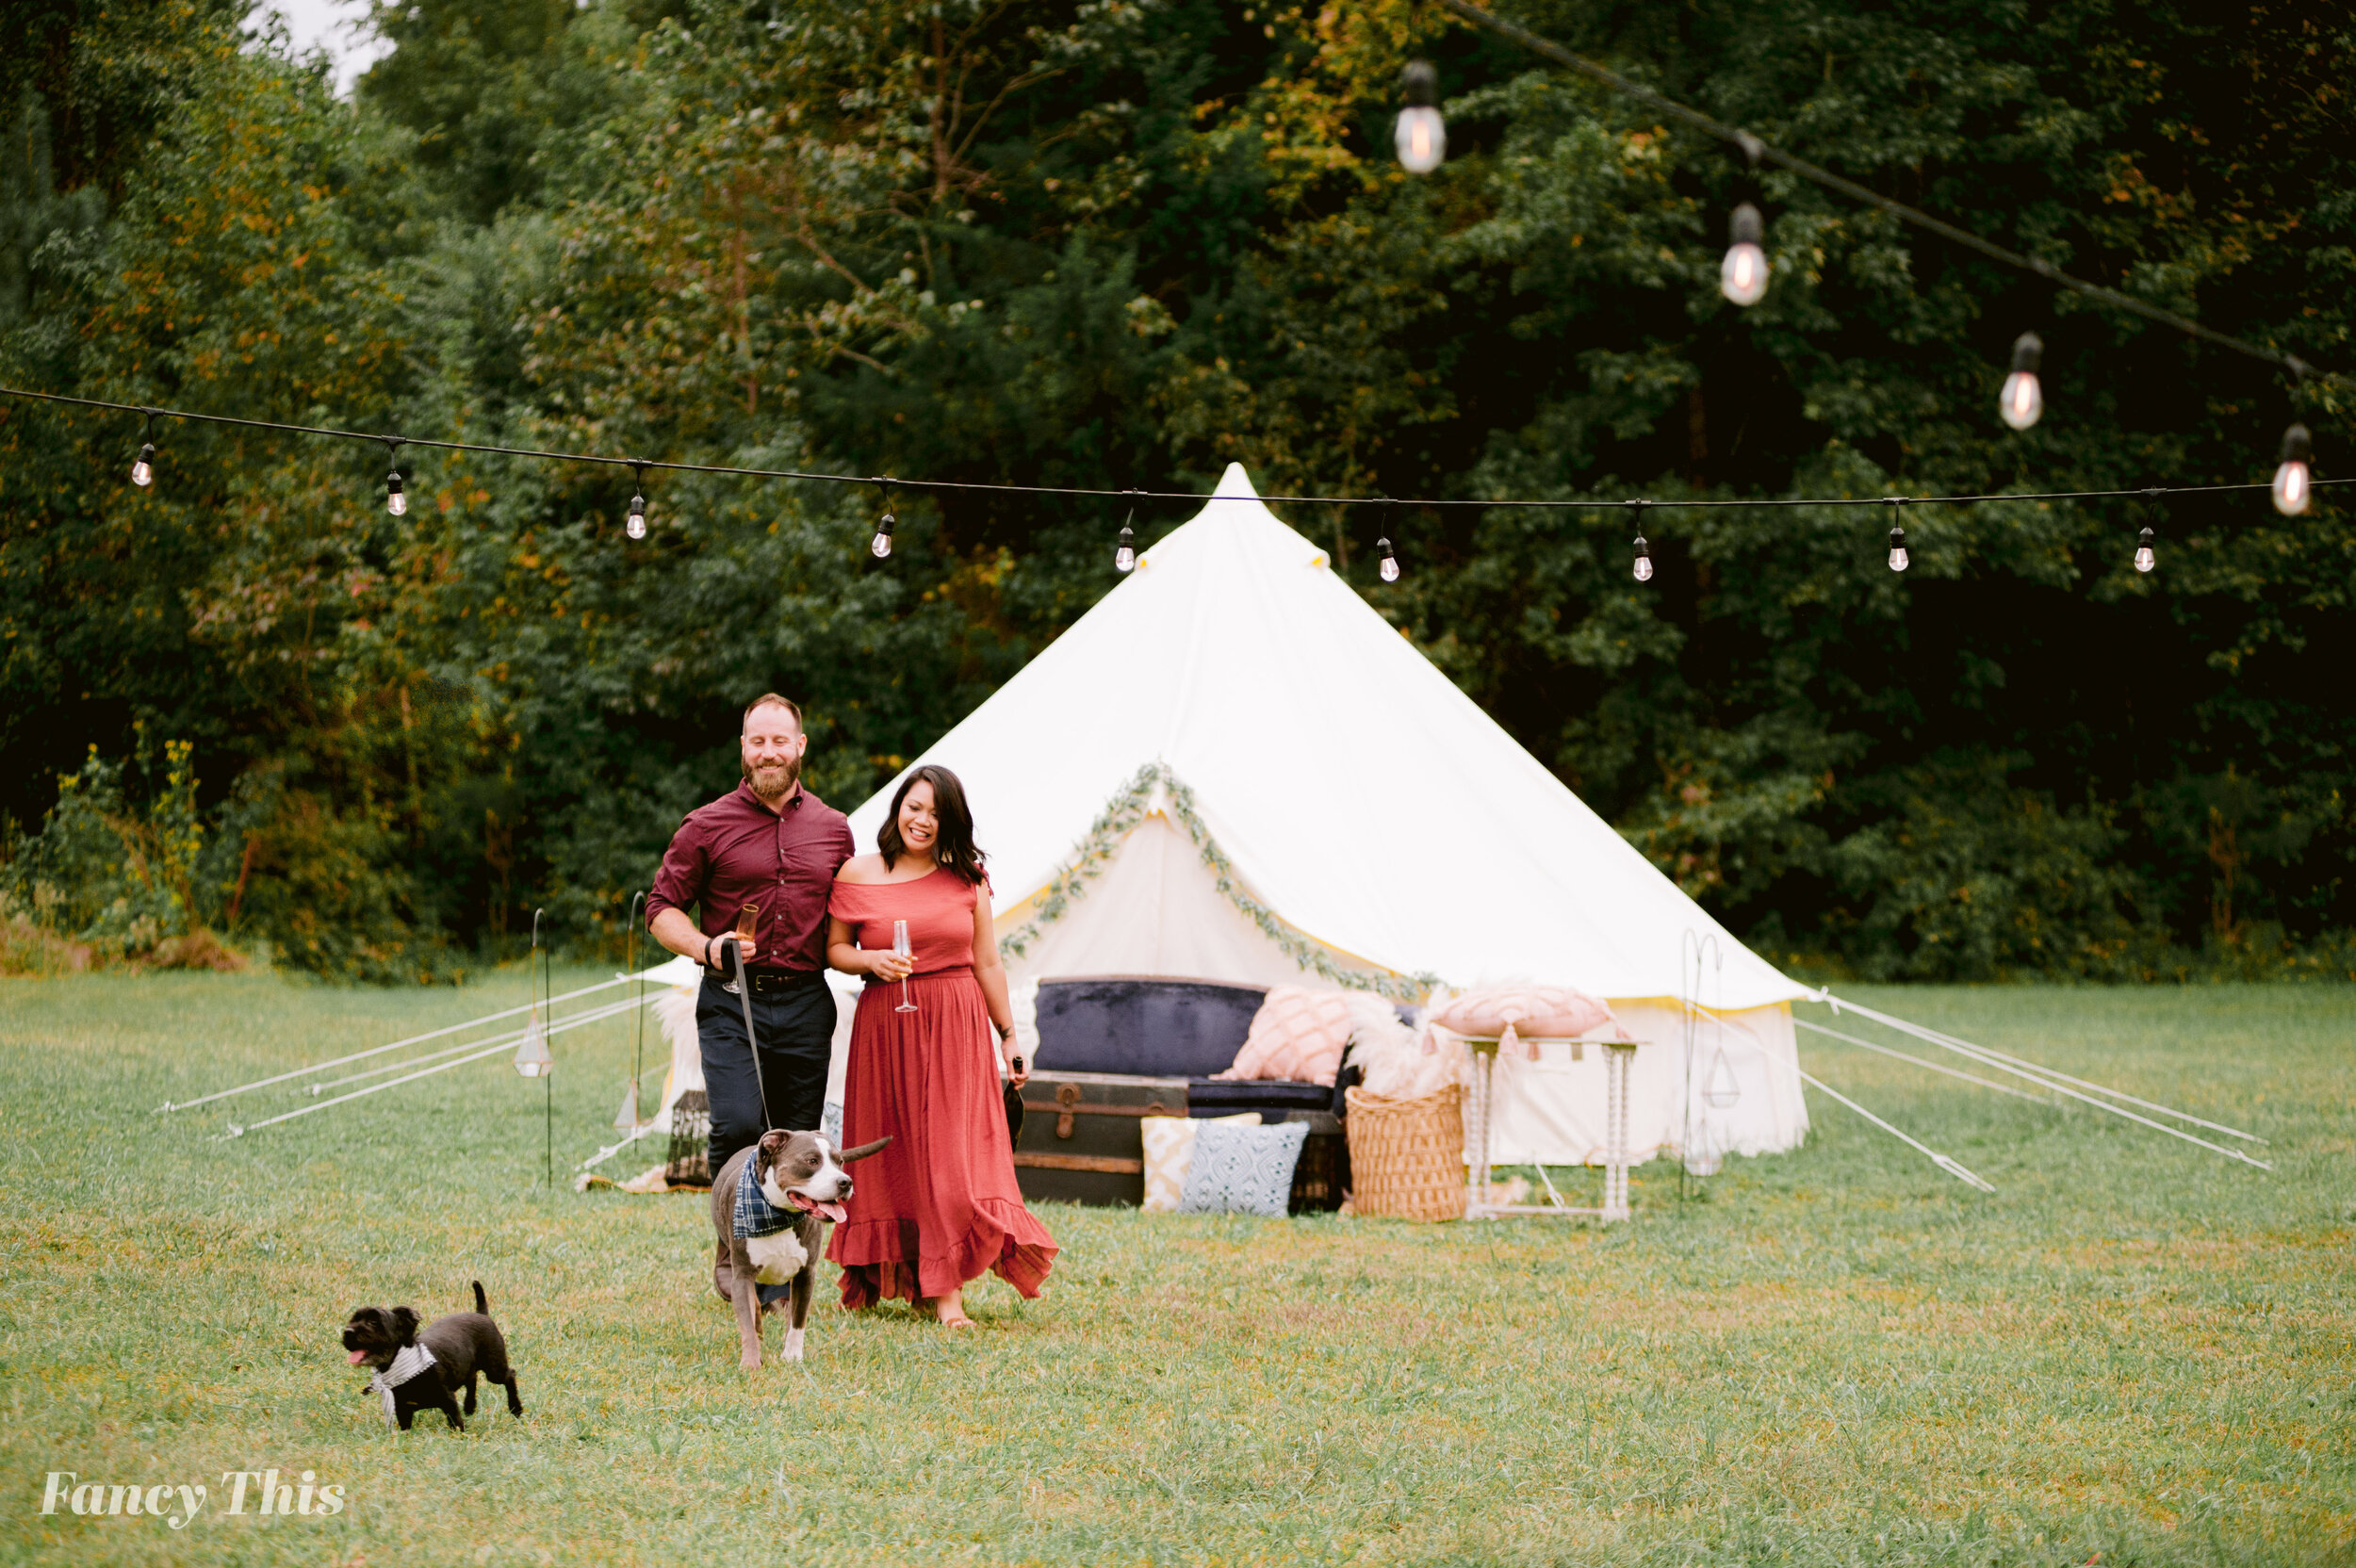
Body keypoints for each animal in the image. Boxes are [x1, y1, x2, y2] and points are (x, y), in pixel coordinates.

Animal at [341, 1281, 525, 1422]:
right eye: (354, 1319)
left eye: (374, 1322)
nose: (347, 1332)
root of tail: (482, 1314)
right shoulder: (403, 1410)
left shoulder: (448, 1401)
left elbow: (457, 1424)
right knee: (472, 1379)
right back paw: (469, 1406)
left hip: (494, 1369)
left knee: (510, 1375)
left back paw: (515, 1408)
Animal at [712, 1125, 886, 1365]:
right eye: (812, 1161)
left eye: (839, 1161)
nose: (846, 1182)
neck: (779, 1214)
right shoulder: (742, 1275)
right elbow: (747, 1323)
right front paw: (751, 1363)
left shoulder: (805, 1274)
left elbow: (797, 1320)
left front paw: (792, 1358)